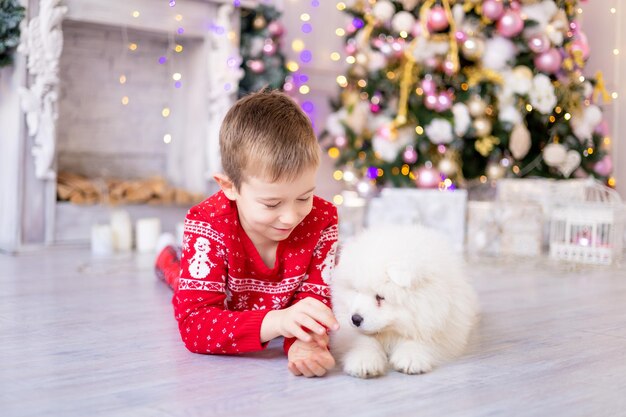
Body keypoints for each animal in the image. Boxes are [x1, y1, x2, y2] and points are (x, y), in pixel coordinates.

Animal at [332, 224, 478, 376]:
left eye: (380, 297)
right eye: (356, 291)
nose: (355, 319)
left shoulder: (438, 325)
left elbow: (420, 339)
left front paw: (410, 359)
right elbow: (362, 340)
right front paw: (363, 362)